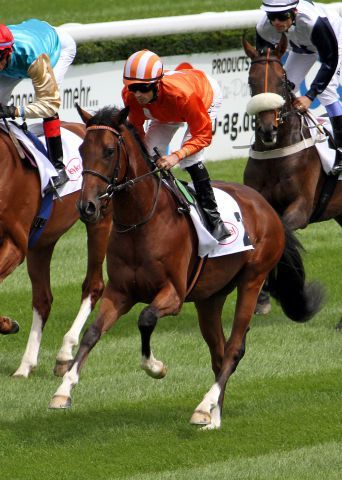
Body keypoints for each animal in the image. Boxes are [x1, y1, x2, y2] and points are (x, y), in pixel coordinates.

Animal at [0, 121, 111, 378]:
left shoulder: (15, 244)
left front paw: (8, 324)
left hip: (98, 218)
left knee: (93, 285)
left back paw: (65, 353)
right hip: (42, 242)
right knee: (43, 299)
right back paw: (25, 365)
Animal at [48, 107, 324, 430]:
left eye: (108, 151)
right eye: (81, 149)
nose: (87, 206)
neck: (142, 221)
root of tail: (267, 209)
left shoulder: (174, 294)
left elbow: (146, 318)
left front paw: (155, 367)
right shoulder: (120, 292)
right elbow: (92, 332)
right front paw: (63, 390)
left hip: (253, 281)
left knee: (234, 349)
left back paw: (204, 406)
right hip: (210, 299)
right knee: (219, 353)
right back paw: (213, 416)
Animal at [242, 35, 342, 316]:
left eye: (281, 81)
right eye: (251, 81)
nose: (267, 129)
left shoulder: (301, 207)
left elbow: (283, 234)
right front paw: (263, 297)